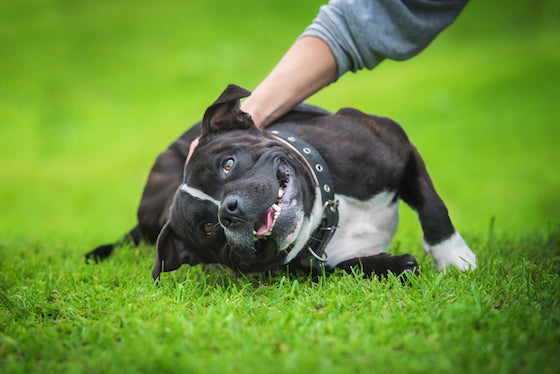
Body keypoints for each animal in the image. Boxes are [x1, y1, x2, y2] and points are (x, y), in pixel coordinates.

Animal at [85, 84, 474, 278]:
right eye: (208, 228)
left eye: (228, 164)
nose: (229, 210)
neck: (331, 212)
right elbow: (348, 267)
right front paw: (393, 265)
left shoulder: (398, 147)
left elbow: (433, 206)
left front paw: (453, 256)